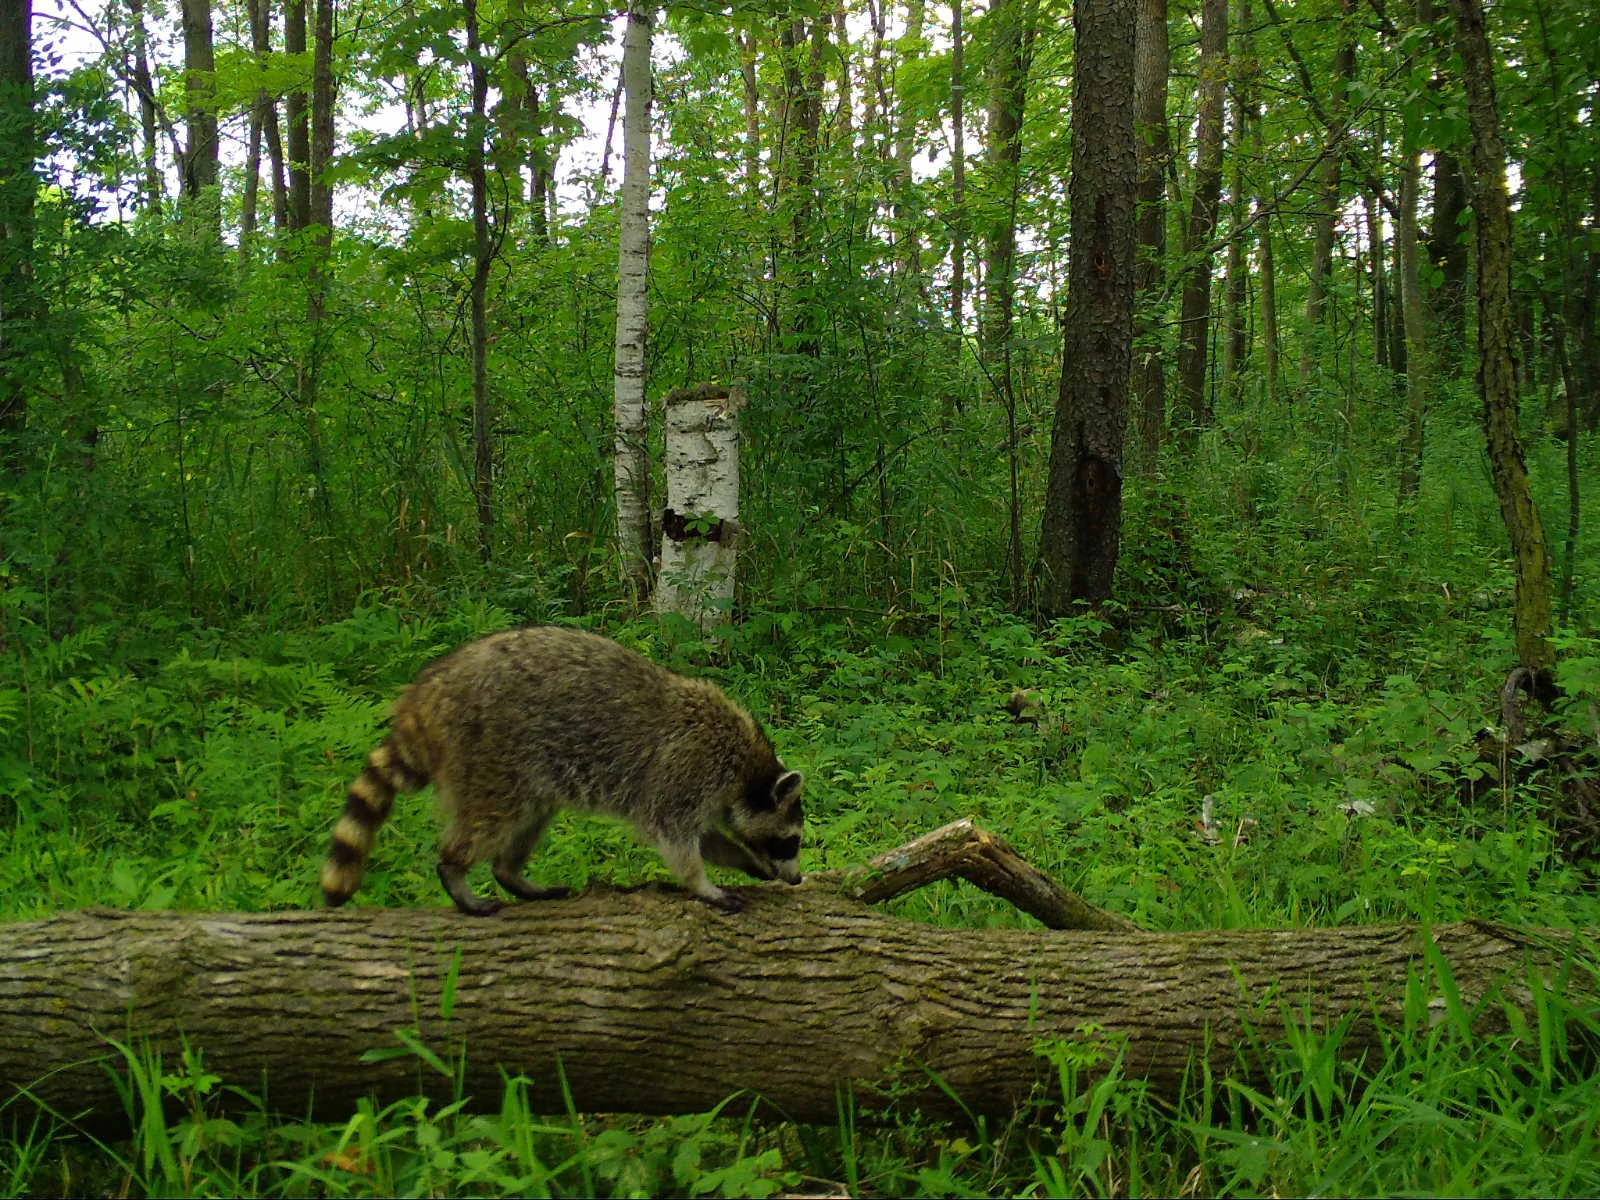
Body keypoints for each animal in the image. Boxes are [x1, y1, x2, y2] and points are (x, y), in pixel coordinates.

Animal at [319, 626, 805, 916]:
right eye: (790, 841)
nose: (797, 877)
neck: (746, 768)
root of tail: (426, 695)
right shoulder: (685, 769)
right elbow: (674, 835)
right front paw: (701, 884)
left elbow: (704, 838)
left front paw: (743, 860)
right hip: (487, 753)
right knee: (491, 819)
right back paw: (455, 872)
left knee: (529, 820)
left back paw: (511, 874)